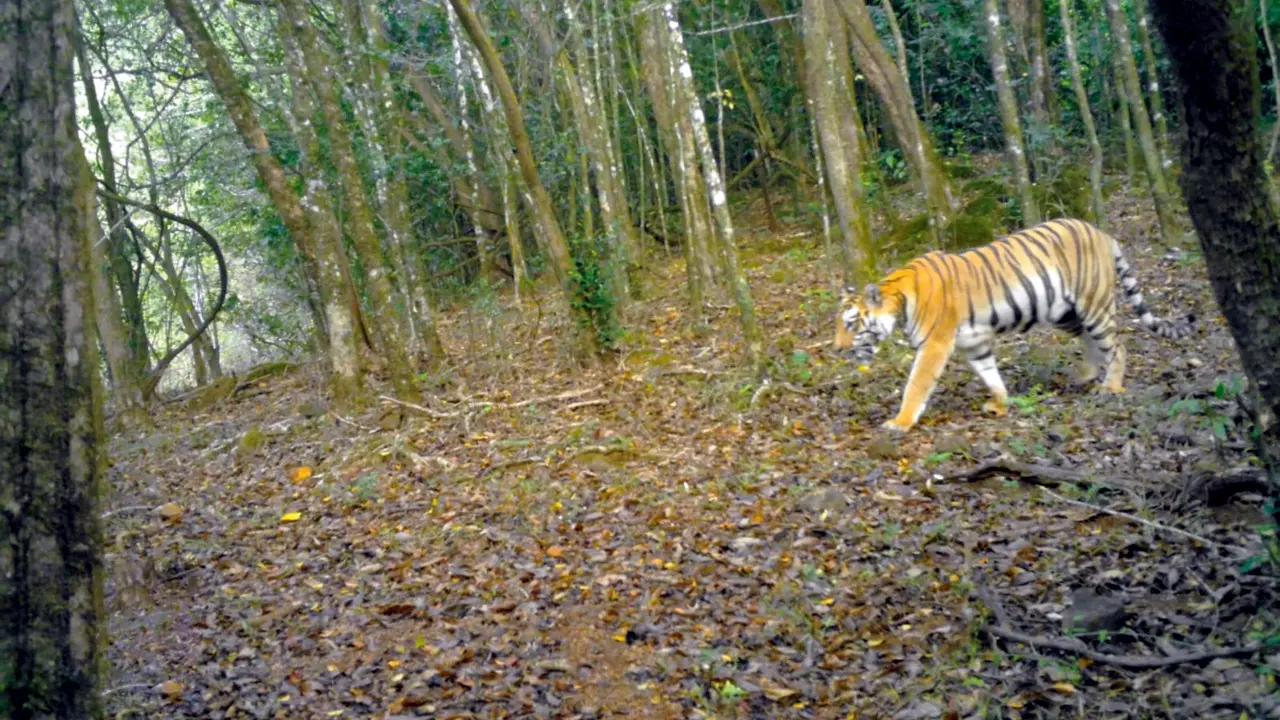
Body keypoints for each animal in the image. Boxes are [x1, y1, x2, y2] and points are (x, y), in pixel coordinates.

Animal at [834, 218, 1193, 433]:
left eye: (851, 324)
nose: (837, 349)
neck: (900, 301)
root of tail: (1101, 232)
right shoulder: (974, 343)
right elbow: (988, 373)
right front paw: (1000, 403)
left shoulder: (934, 345)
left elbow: (917, 385)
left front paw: (900, 422)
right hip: (1064, 313)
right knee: (1090, 340)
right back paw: (1087, 375)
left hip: (1094, 303)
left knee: (1117, 345)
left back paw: (1111, 386)